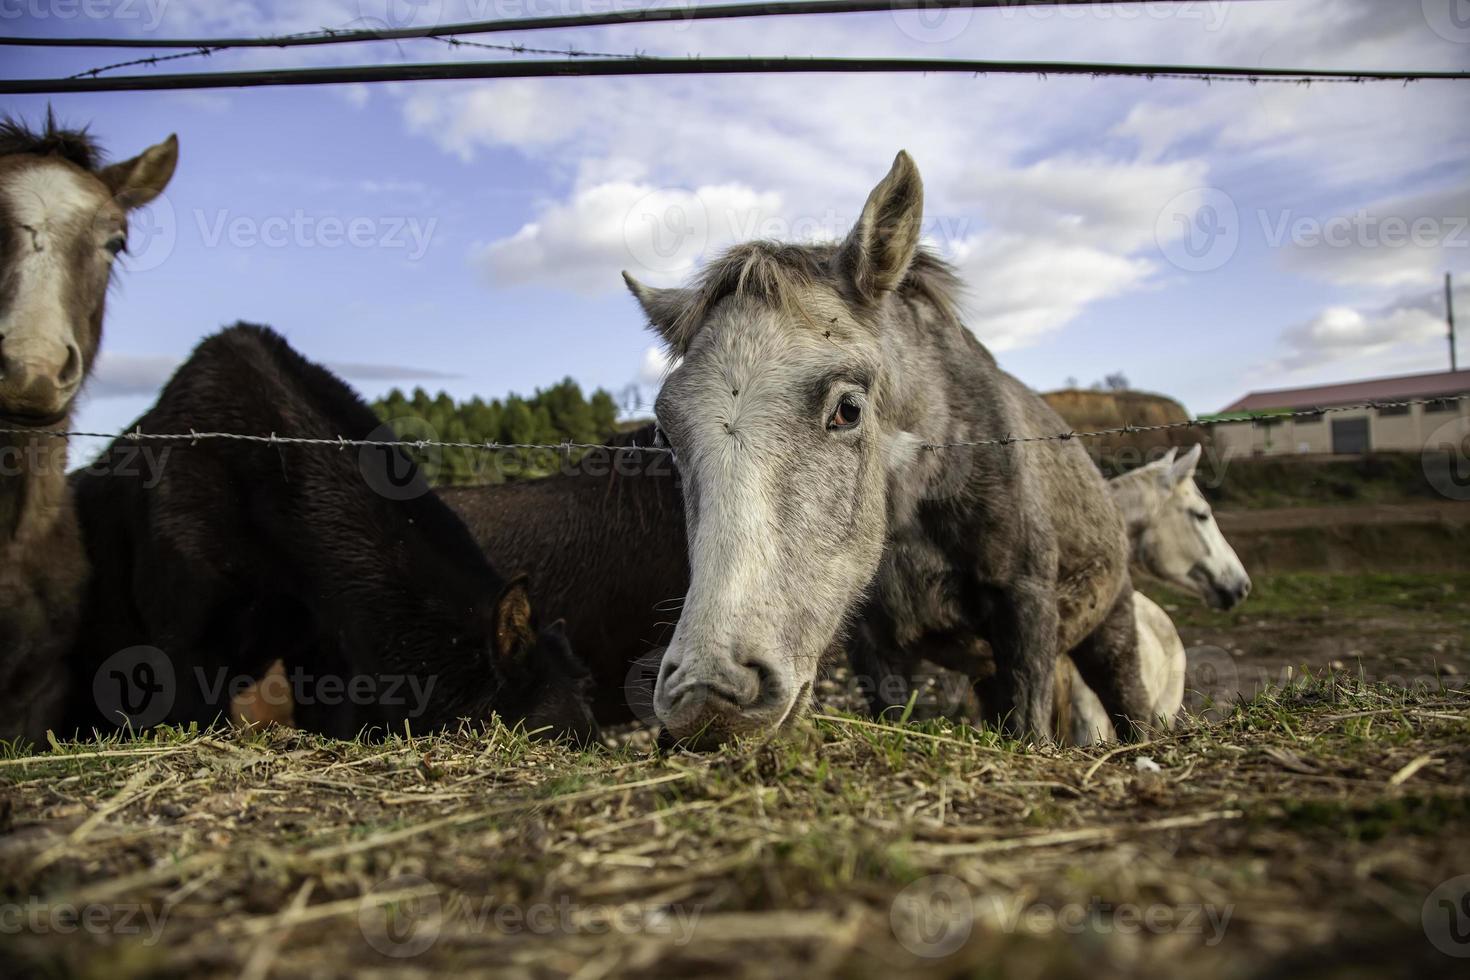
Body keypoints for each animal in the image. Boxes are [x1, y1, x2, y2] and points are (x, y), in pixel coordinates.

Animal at [620, 151, 1146, 743]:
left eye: (848, 409)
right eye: (665, 433)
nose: (708, 694)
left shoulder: (1026, 604)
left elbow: (1030, 725)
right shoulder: (875, 641)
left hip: (1112, 629)